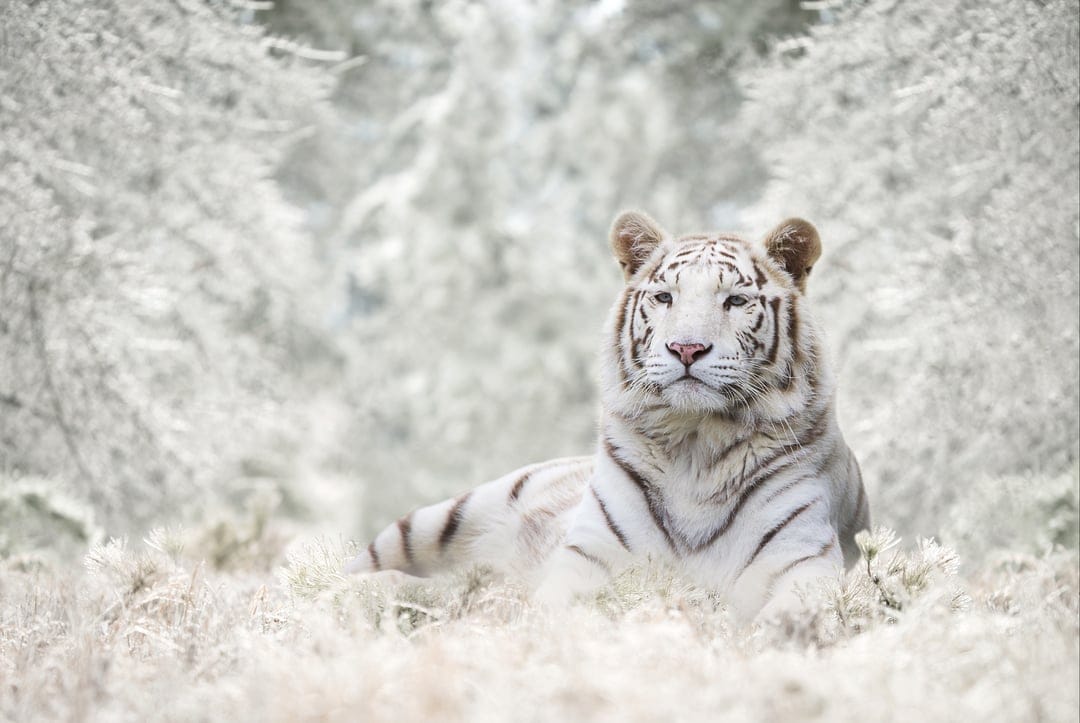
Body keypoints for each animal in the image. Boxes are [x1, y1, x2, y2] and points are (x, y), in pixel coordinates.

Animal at [345, 211, 870, 621]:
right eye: (665, 297)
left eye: (735, 301)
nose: (686, 348)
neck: (697, 445)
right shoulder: (591, 557)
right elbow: (557, 610)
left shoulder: (802, 558)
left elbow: (790, 615)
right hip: (440, 518)